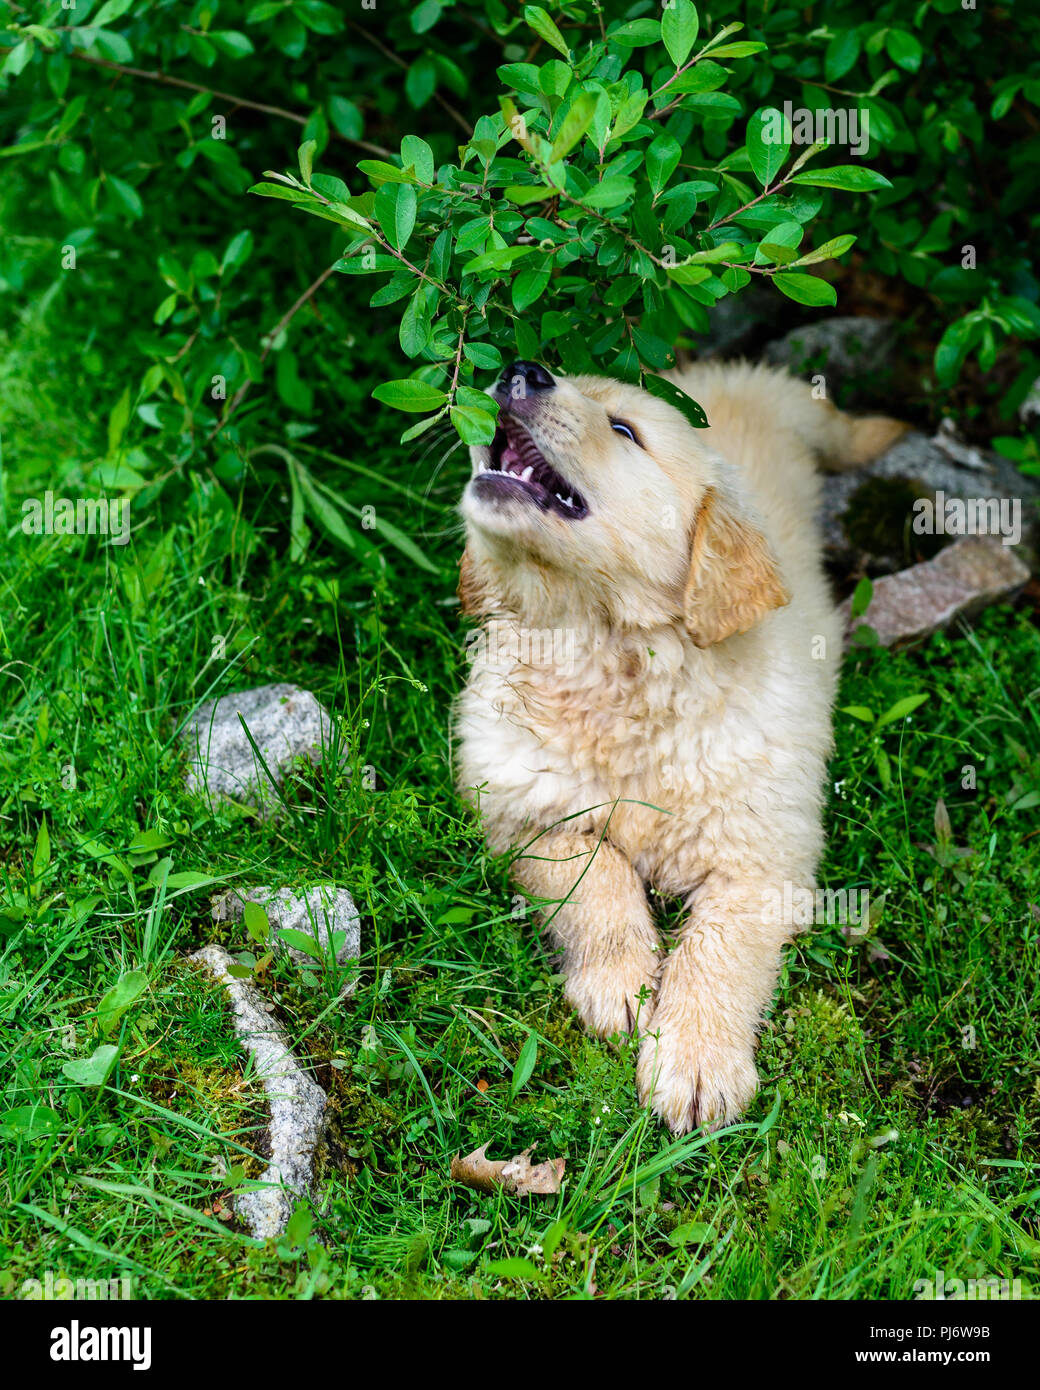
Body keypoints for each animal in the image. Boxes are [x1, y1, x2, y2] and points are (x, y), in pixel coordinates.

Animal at [456, 358, 900, 1128]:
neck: (604, 651)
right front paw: (622, 984)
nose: (520, 369)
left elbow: (720, 952)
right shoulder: (521, 809)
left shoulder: (763, 860)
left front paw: (696, 1060)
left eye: (625, 429)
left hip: (797, 405)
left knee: (841, 427)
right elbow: (593, 879)